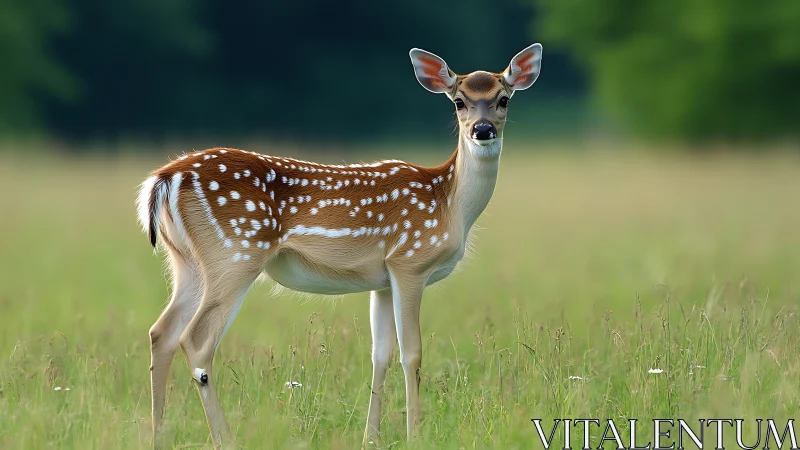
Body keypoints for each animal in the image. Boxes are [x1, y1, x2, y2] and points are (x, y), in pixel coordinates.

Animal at [136, 43, 542, 448]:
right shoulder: (410, 261)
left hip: (186, 261)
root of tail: (164, 178)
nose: (482, 129)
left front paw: (371, 438)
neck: (449, 203)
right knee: (196, 340)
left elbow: (381, 354)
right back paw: (225, 438)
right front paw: (415, 434)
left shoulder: (382, 280)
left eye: (503, 99)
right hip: (236, 252)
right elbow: (412, 353)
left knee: (161, 332)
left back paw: (158, 436)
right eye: (459, 101)